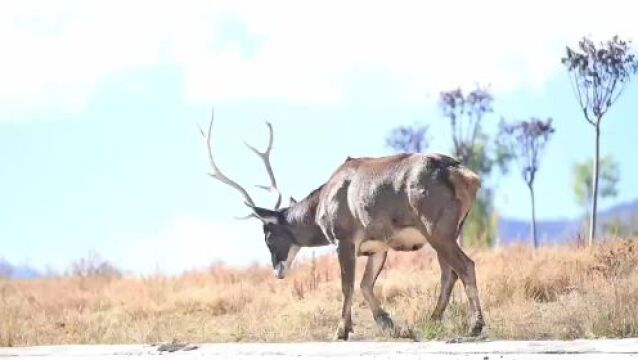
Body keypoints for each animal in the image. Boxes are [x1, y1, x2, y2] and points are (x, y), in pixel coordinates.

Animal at [202, 112, 488, 340]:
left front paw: (341, 330)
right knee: (449, 273)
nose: (277, 271)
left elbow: (347, 285)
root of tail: (467, 176)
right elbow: (365, 284)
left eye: (267, 234)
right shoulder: (378, 245)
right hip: (453, 230)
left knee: (465, 266)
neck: (320, 206)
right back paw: (433, 320)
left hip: (437, 228)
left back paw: (475, 326)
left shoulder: (344, 237)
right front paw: (389, 324)